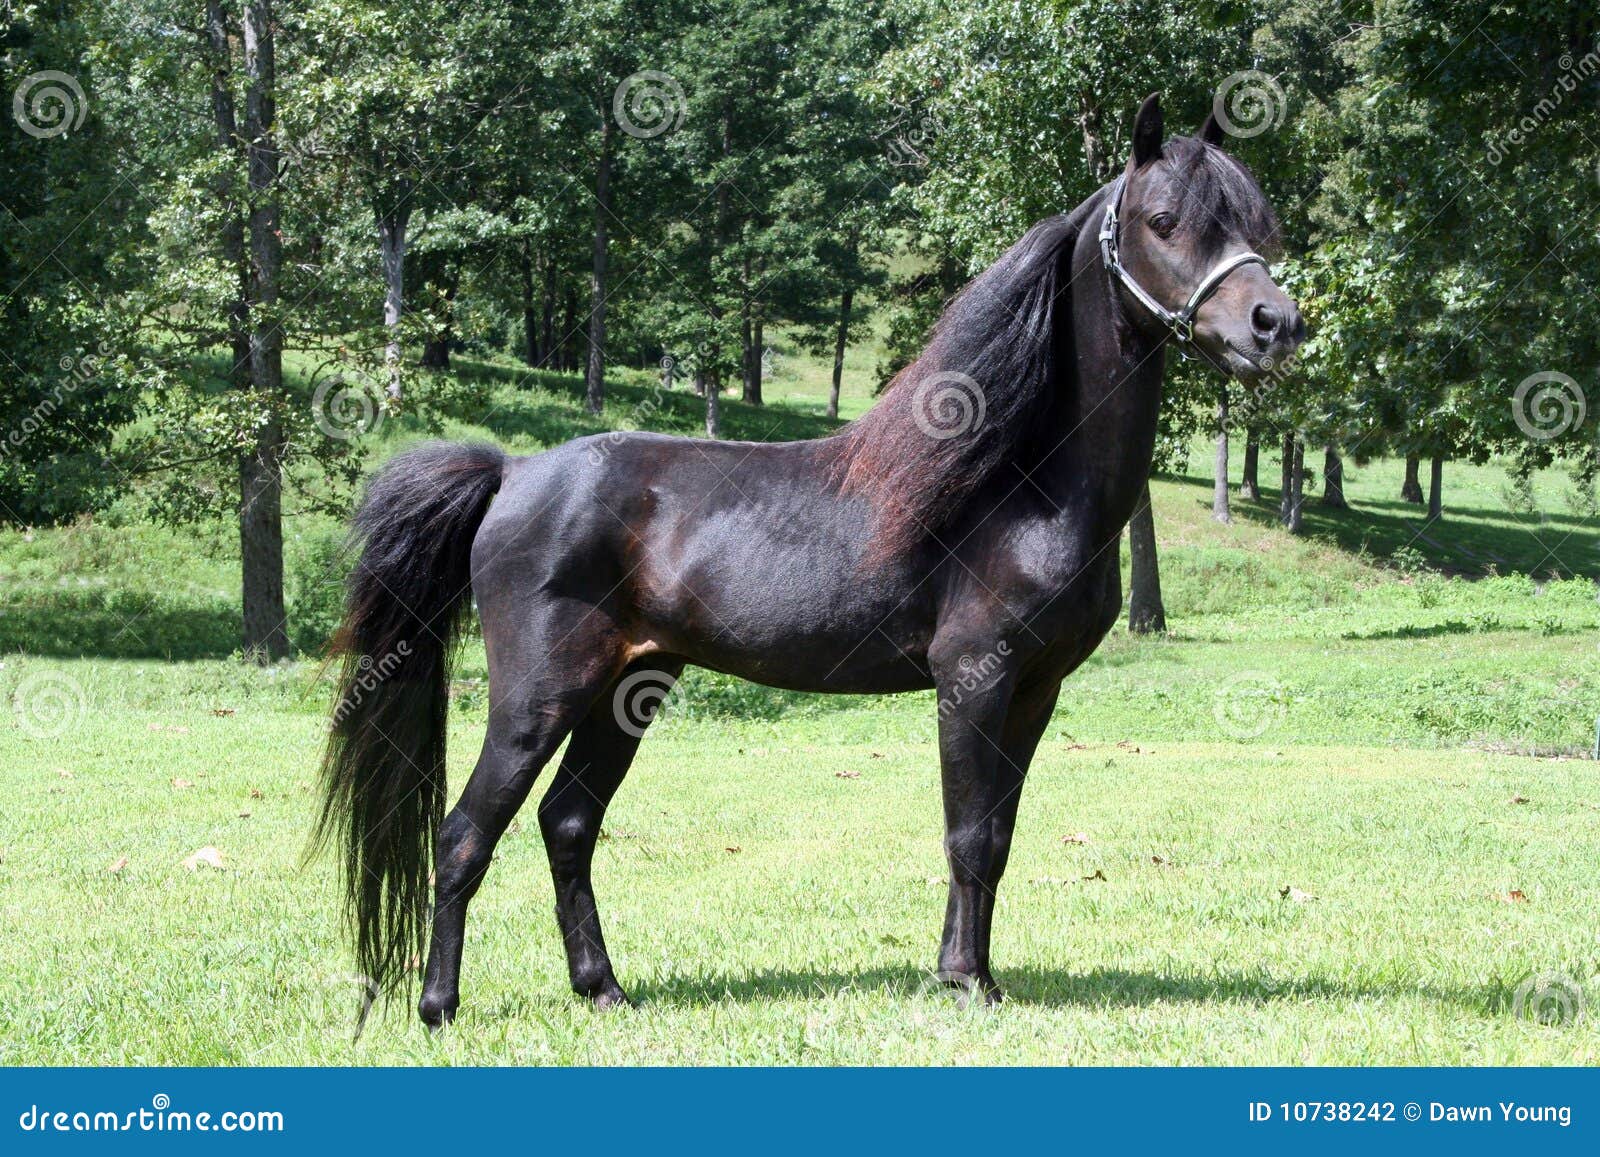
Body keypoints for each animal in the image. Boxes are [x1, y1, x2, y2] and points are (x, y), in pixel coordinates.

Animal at [313, 94, 1305, 1025]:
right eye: (1164, 221)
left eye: (1254, 224)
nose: (1275, 323)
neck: (1022, 484)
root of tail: (513, 474)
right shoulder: (974, 677)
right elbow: (967, 834)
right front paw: (962, 981)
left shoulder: (1036, 689)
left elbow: (997, 835)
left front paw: (977, 974)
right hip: (538, 696)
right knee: (465, 832)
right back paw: (438, 1005)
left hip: (627, 687)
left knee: (567, 825)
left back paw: (603, 989)